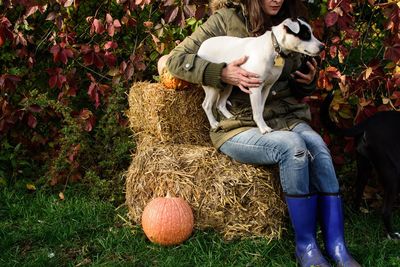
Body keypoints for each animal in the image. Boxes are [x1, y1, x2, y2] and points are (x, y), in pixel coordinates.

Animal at [320, 91, 400, 241]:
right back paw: (392, 235)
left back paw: (356, 216)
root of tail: (367, 123)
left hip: (364, 166)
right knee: (385, 211)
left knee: (357, 193)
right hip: (392, 174)